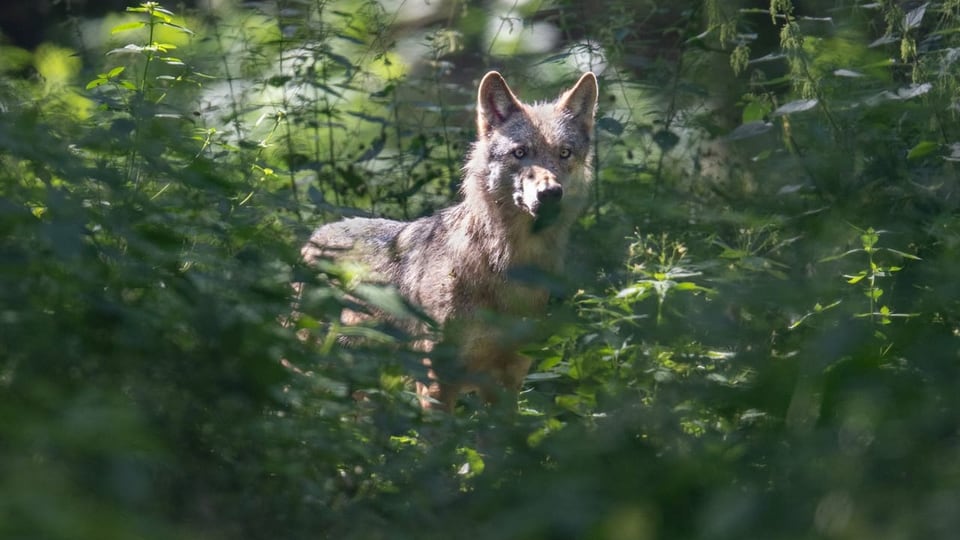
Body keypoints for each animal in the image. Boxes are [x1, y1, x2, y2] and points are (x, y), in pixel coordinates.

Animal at [302, 70, 600, 410]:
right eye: (520, 152)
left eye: (564, 153)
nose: (550, 193)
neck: (506, 269)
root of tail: (313, 236)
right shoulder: (436, 383)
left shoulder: (507, 384)